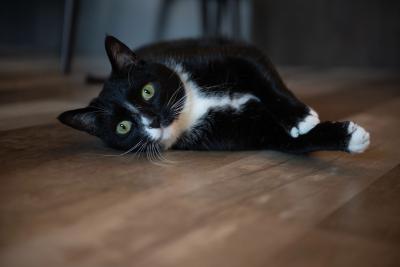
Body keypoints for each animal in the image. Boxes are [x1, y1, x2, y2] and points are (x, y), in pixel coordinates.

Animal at [57, 35, 370, 157]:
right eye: (124, 127)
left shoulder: (233, 56)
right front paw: (349, 137)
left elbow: (267, 79)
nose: (154, 120)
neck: (191, 106)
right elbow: (292, 142)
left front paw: (300, 116)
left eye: (148, 91)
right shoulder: (250, 131)